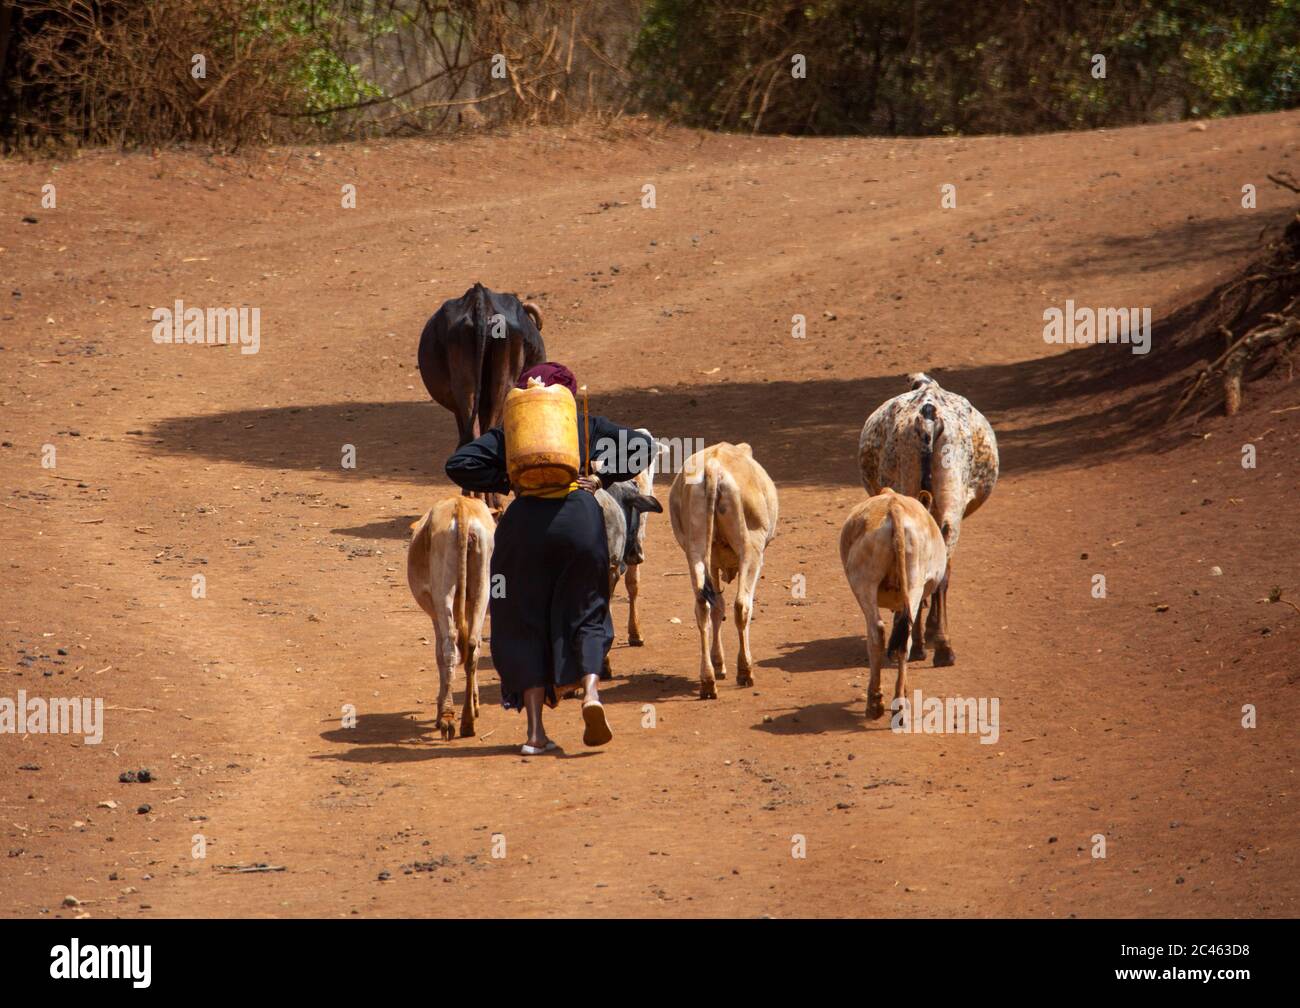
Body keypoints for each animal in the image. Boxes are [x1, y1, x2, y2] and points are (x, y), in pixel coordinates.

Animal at [405, 496, 491, 738]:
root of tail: (461, 507)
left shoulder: (434, 612)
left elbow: (438, 654)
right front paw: (475, 701)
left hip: (443, 593)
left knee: (449, 648)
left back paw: (447, 717)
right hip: (483, 587)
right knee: (472, 645)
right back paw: (468, 720)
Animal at [665, 442, 774, 702]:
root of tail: (713, 467)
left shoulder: (712, 561)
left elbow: (717, 608)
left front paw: (718, 663)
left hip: (695, 550)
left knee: (703, 606)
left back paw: (708, 680)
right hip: (751, 549)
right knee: (742, 605)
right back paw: (745, 671)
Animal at [842, 486, 946, 717]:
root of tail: (894, 507)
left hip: (866, 583)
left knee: (880, 633)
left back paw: (879, 702)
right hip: (909, 583)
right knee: (896, 636)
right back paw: (893, 702)